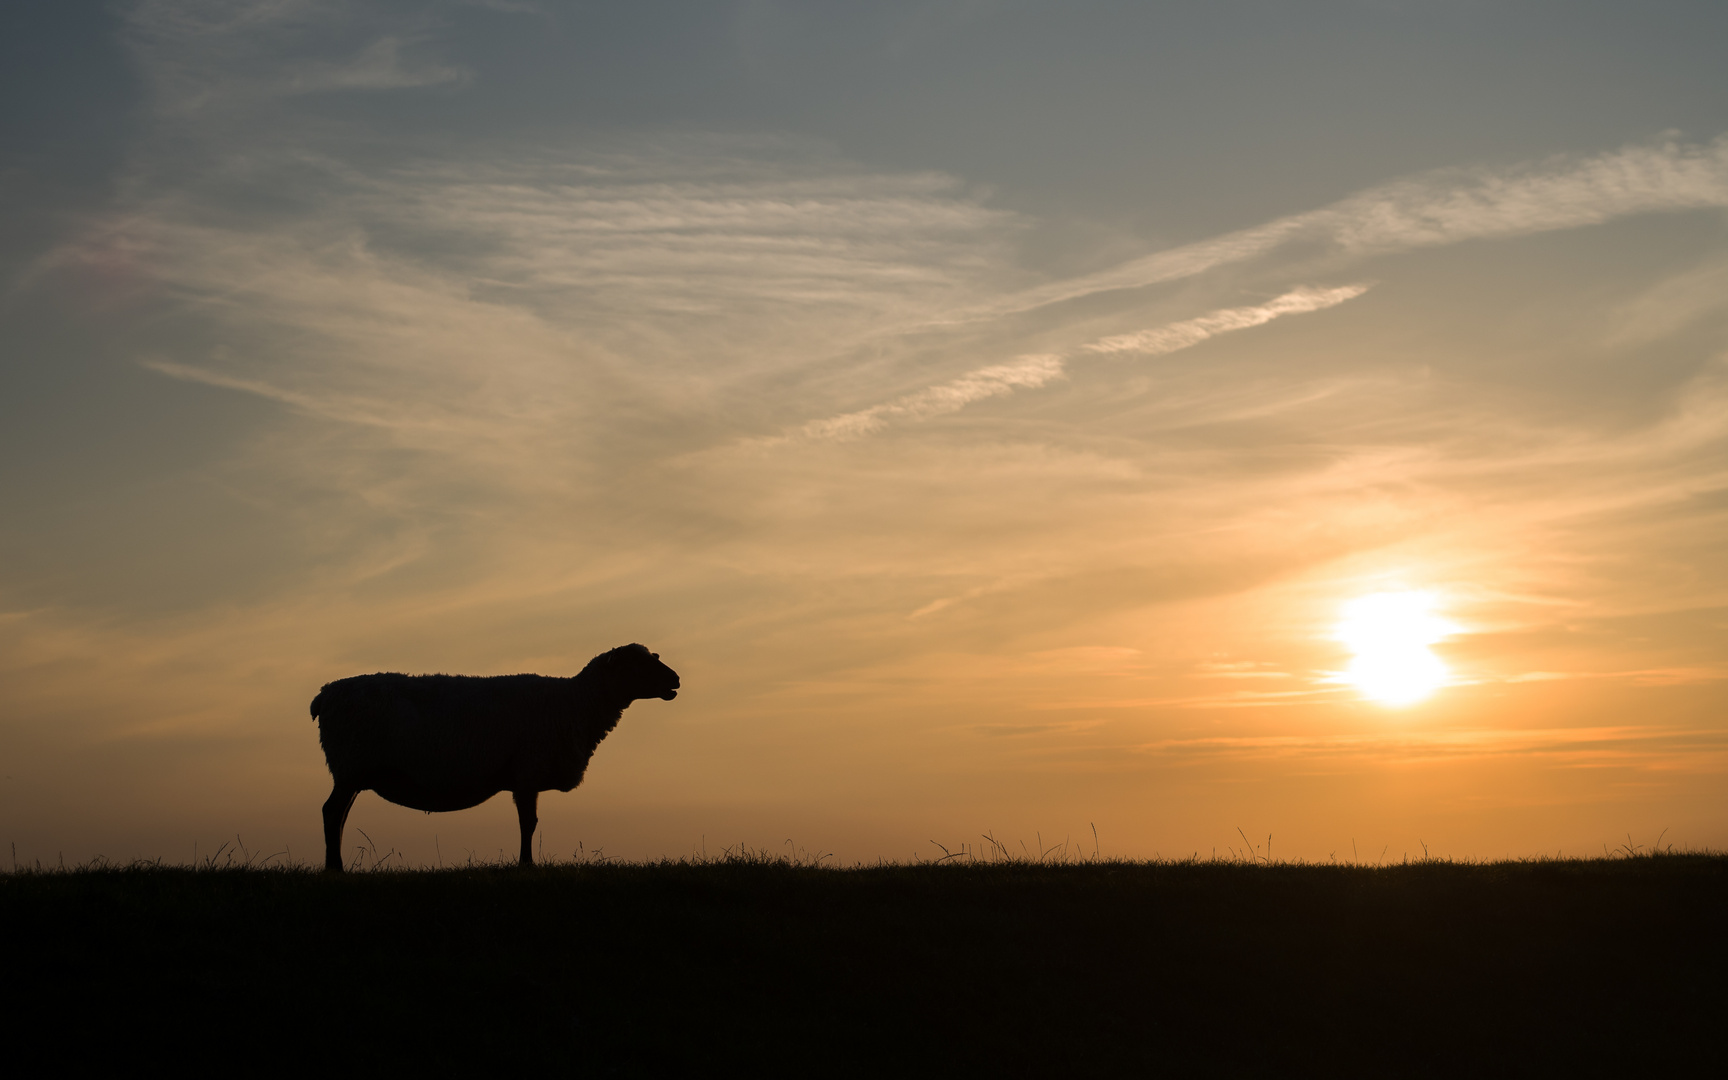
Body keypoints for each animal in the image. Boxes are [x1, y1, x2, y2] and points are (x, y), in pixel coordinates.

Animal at [314, 639, 677, 867]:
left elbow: (528, 822)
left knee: (339, 814)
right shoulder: (527, 771)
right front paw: (526, 865)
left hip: (352, 771)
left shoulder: (526, 776)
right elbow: (528, 823)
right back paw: (335, 868)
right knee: (331, 812)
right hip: (350, 764)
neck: (574, 702)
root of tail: (324, 695)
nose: (675, 680)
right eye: (638, 665)